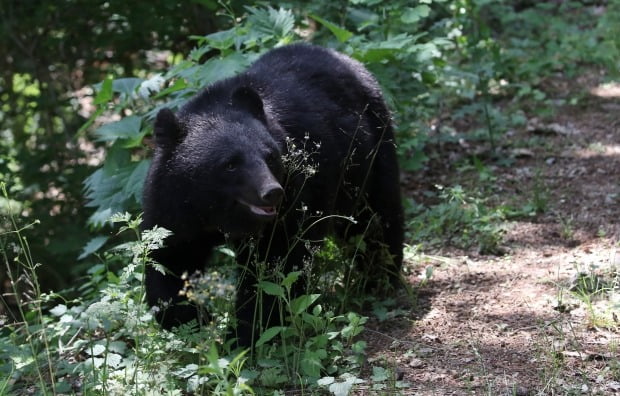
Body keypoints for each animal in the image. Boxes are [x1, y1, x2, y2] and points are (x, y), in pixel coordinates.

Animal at [142, 44, 404, 346]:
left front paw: (246, 334)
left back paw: (379, 277)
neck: (215, 212)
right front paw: (192, 319)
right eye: (230, 164)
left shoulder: (294, 197)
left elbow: (275, 267)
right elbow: (168, 258)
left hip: (371, 155)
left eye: (270, 156)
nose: (272, 193)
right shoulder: (174, 207)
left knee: (376, 219)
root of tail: (348, 60)